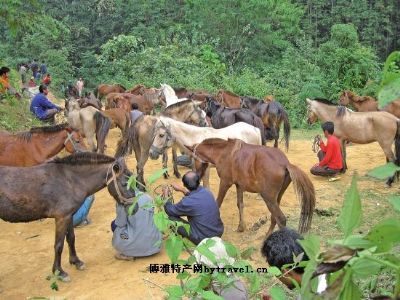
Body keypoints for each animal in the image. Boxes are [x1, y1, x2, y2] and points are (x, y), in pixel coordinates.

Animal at [0, 152, 136, 282]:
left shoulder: (69, 216)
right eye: (125, 184)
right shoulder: (61, 218)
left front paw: (76, 262)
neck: (69, 180)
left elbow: (71, 238)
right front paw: (59, 272)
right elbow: (59, 245)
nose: (135, 208)